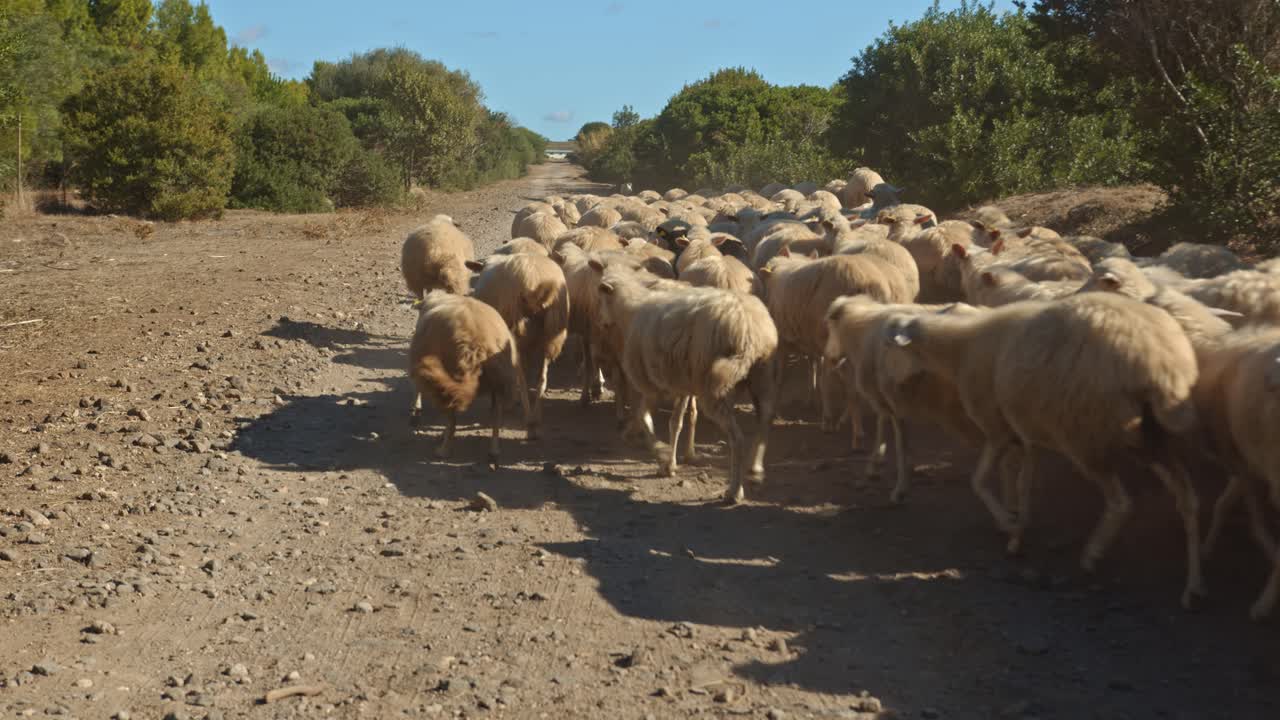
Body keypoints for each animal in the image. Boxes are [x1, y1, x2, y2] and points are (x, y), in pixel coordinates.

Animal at [408, 291, 530, 462]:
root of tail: (479, 346)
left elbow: (416, 387)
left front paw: (415, 410)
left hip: (452, 381)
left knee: (452, 418)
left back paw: (444, 450)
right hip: (500, 381)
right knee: (496, 416)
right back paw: (494, 450)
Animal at [466, 253, 570, 439]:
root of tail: (533, 280)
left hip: (517, 333)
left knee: (521, 378)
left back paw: (529, 420)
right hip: (551, 335)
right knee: (541, 378)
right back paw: (536, 418)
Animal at [597, 268, 778, 502]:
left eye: (601, 299)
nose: (601, 323)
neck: (630, 312)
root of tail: (749, 330)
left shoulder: (654, 386)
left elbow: (644, 417)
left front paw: (661, 454)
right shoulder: (681, 384)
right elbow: (676, 422)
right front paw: (670, 461)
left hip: (715, 388)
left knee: (737, 438)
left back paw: (734, 491)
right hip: (762, 376)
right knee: (766, 418)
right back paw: (755, 469)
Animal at [889, 293, 1205, 609]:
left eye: (893, 345)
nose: (894, 387)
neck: (961, 349)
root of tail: (1163, 369)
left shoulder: (997, 430)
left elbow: (979, 481)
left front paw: (1010, 525)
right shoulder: (1023, 435)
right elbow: (1022, 482)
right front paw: (1016, 528)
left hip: (1085, 437)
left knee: (1121, 503)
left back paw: (1092, 555)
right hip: (1151, 440)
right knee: (1187, 501)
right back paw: (1192, 588)